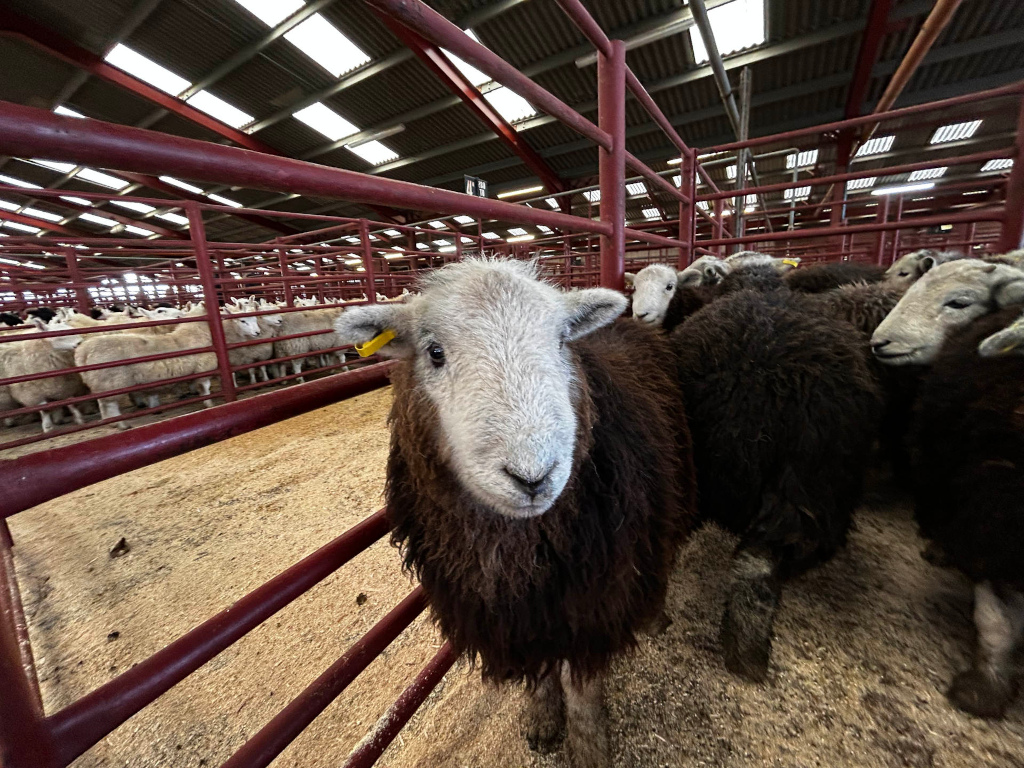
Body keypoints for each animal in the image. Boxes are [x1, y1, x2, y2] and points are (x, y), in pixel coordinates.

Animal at [74, 306, 261, 429]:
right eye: (242, 320)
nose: (258, 333)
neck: (197, 332)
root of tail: (83, 351)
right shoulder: (203, 367)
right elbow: (205, 386)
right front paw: (208, 402)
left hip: (101, 384)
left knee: (103, 404)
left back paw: (112, 422)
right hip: (111, 383)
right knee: (111, 405)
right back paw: (122, 424)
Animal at [334, 259, 696, 768]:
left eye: (562, 341)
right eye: (435, 352)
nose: (532, 476)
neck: (519, 550)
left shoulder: (592, 600)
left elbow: (581, 688)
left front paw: (588, 747)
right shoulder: (516, 616)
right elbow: (540, 676)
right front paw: (542, 720)